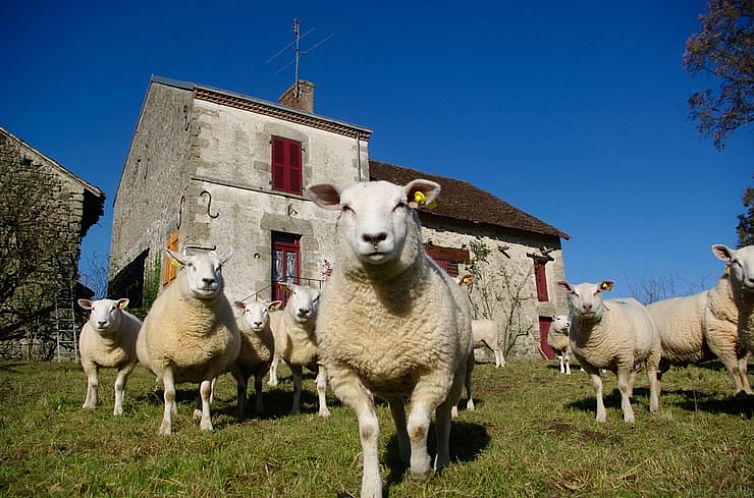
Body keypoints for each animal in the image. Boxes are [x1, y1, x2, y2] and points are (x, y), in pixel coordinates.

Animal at [135, 247, 239, 434]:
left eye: (219, 267)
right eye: (190, 265)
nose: (209, 281)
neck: (196, 329)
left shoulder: (213, 361)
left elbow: (205, 391)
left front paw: (206, 424)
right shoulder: (165, 361)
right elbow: (169, 394)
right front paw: (166, 428)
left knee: (202, 390)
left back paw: (197, 413)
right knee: (172, 390)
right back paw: (174, 412)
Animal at [268, 282, 330, 418]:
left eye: (317, 297)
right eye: (294, 293)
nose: (303, 311)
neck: (302, 338)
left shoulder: (323, 359)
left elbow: (322, 387)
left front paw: (323, 411)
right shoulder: (294, 361)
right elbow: (297, 388)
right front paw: (295, 410)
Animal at [306, 179, 470, 498]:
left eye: (400, 205)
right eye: (346, 207)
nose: (374, 237)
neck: (380, 317)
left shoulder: (434, 370)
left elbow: (419, 426)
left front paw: (420, 470)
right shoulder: (344, 374)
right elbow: (369, 430)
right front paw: (371, 485)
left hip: (454, 372)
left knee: (444, 415)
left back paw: (441, 460)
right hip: (390, 379)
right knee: (396, 413)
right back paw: (405, 452)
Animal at [552, 280, 656, 424]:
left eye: (598, 291)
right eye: (573, 292)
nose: (587, 306)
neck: (593, 338)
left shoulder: (623, 357)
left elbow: (623, 386)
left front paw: (629, 416)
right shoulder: (587, 363)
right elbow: (598, 387)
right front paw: (601, 415)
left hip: (652, 350)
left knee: (651, 377)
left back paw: (653, 405)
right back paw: (624, 404)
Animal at [648, 245, 752, 396]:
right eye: (735, 262)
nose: (752, 279)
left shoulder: (743, 345)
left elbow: (743, 371)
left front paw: (749, 392)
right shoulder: (721, 344)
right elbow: (735, 370)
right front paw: (740, 393)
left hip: (662, 356)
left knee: (657, 374)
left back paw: (657, 395)